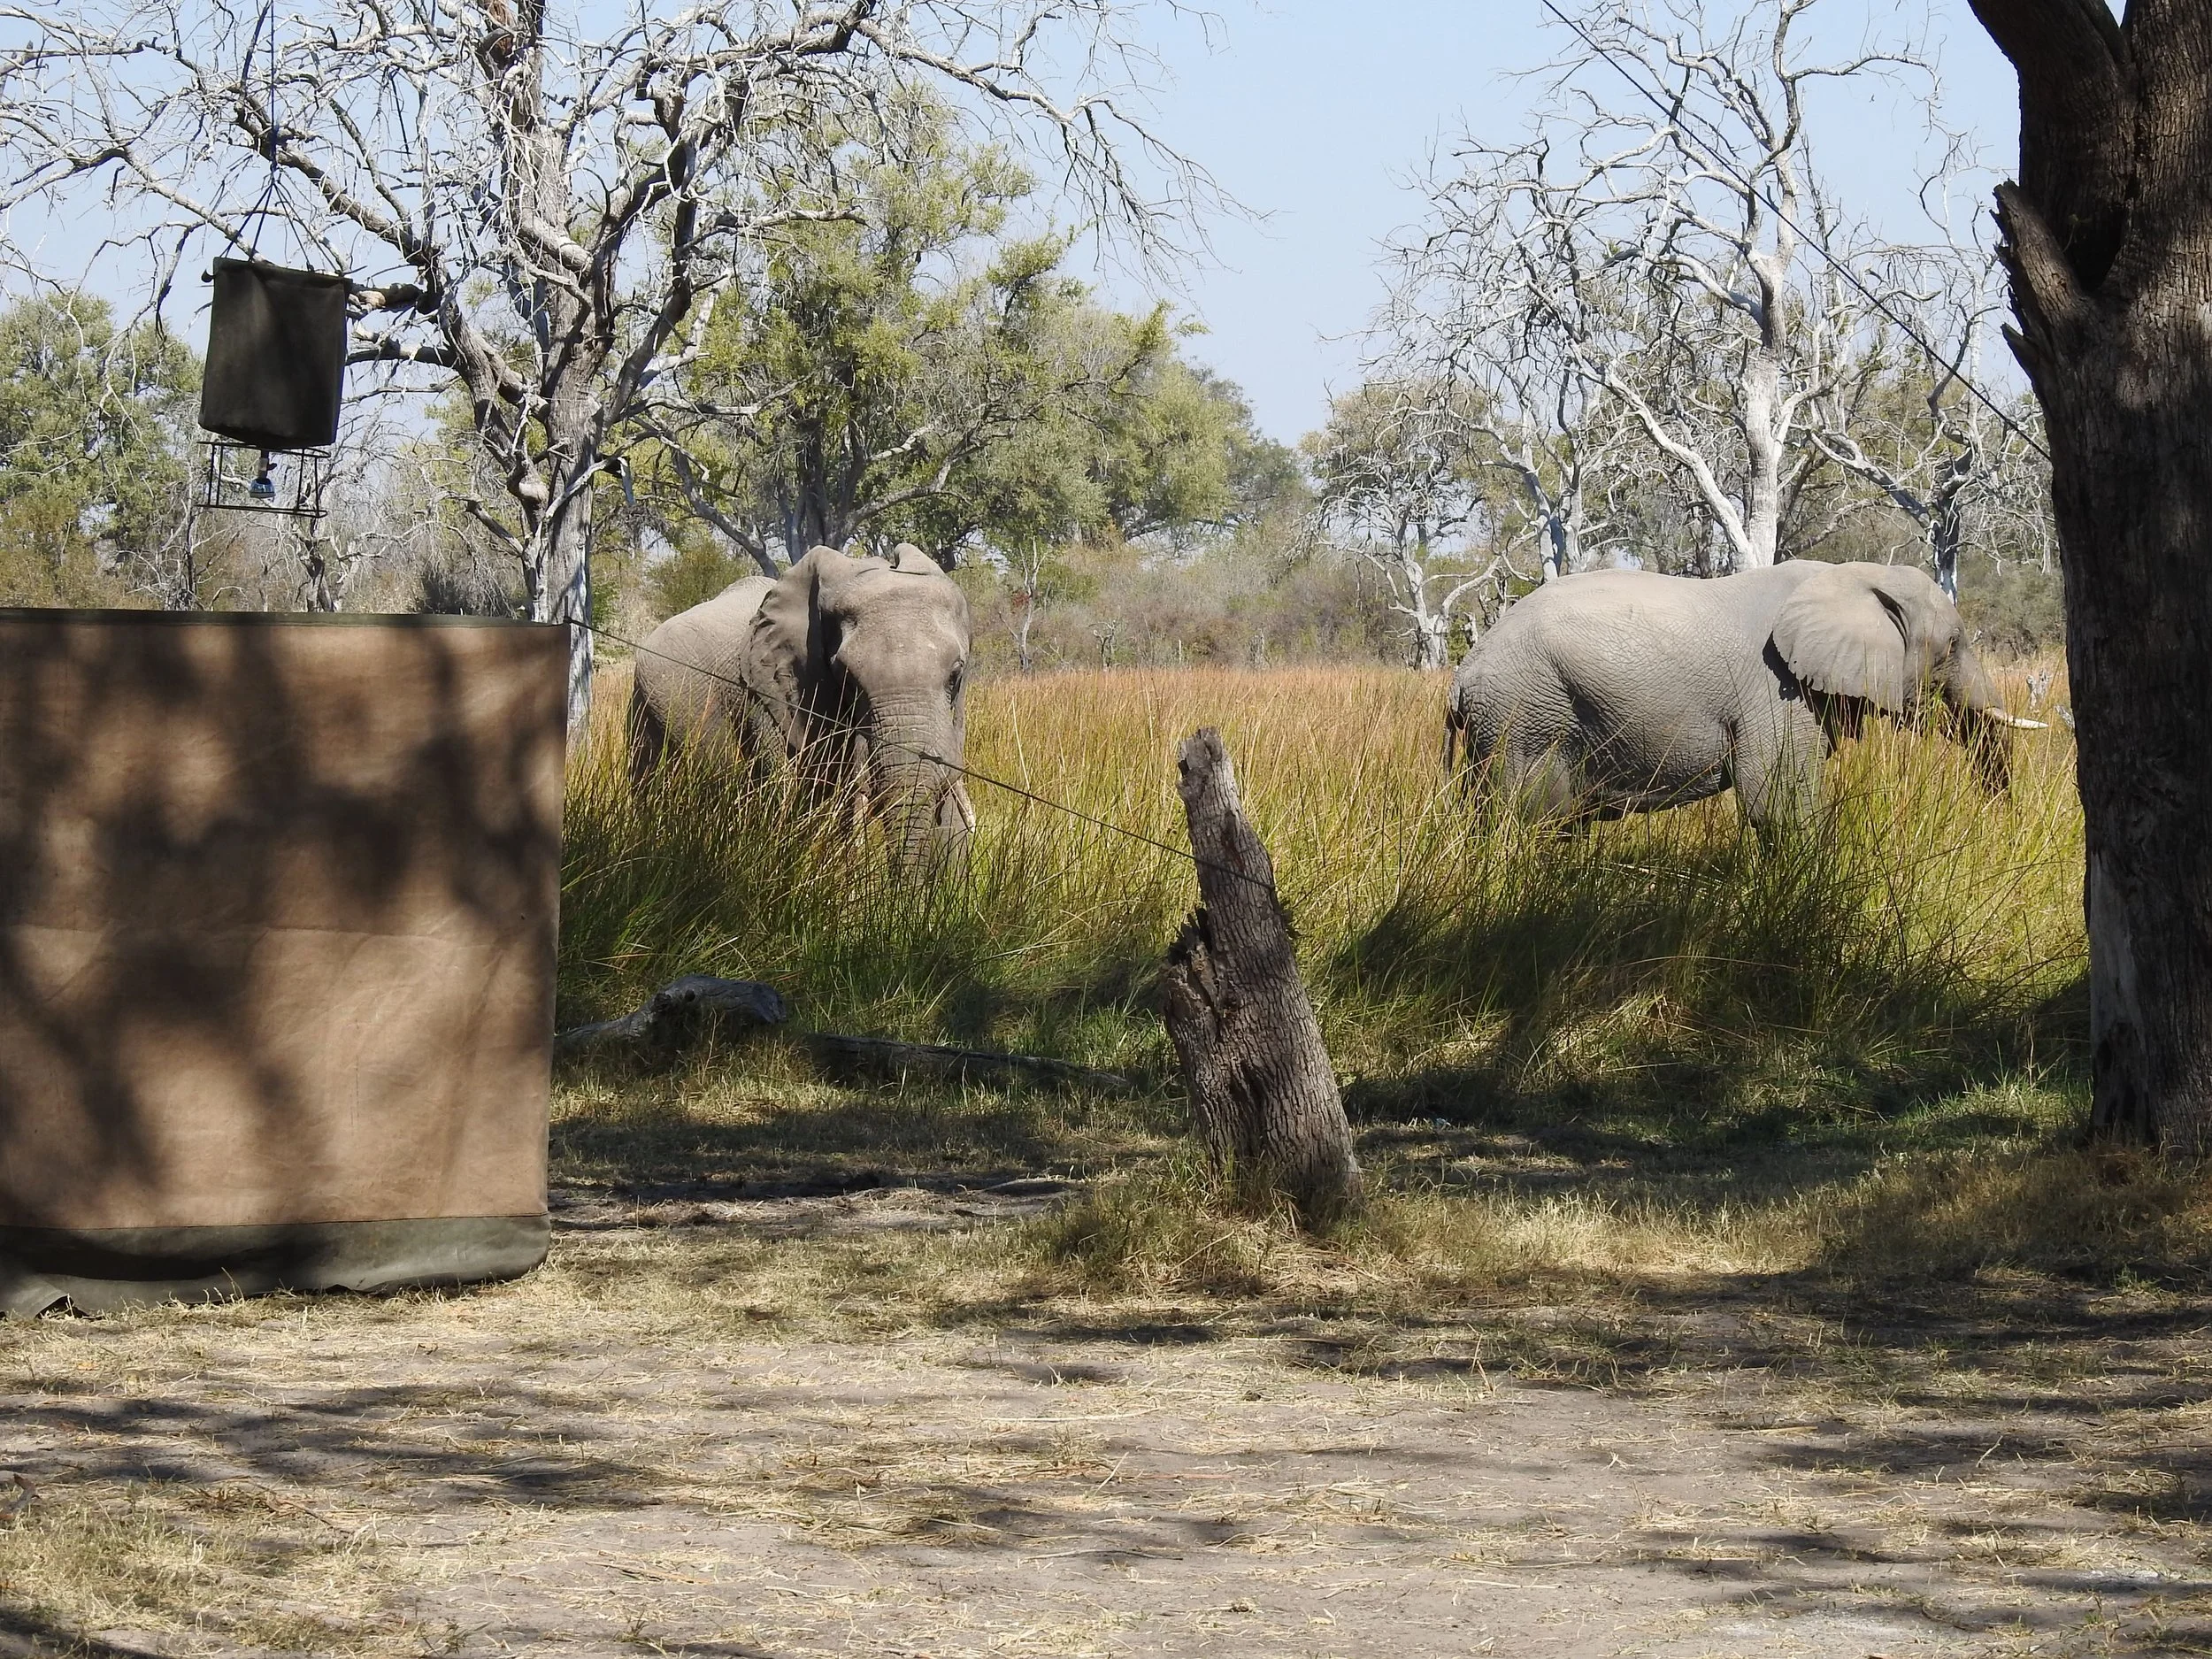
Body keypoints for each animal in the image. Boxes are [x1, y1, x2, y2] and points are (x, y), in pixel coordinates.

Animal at [1442, 560, 2044, 832]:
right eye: (1953, 645)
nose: (2002, 824)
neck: (1851, 576)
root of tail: (1461, 675)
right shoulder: (1777, 690)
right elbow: (1777, 806)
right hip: (1526, 716)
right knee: (1529, 819)